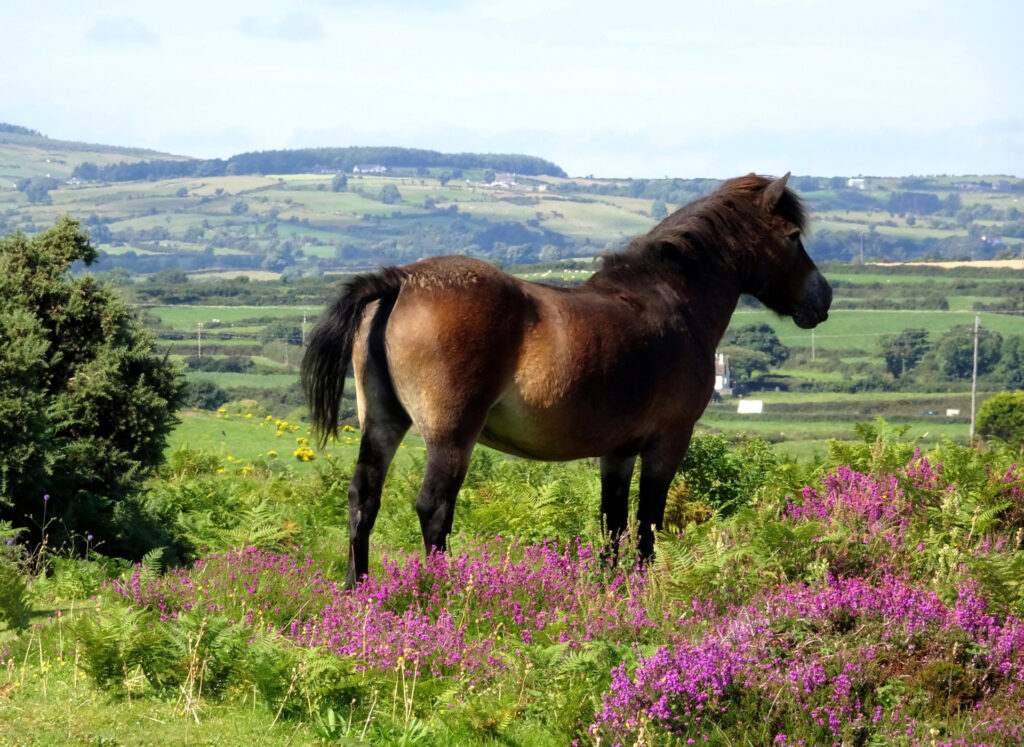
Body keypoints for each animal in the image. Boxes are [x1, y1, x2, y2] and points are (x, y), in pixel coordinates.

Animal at [303, 172, 831, 586]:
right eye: (791, 236)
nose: (823, 297)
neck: (671, 301)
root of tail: (401, 280)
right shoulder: (668, 441)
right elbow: (648, 521)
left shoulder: (618, 451)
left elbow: (612, 521)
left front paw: (610, 587)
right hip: (451, 435)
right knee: (433, 509)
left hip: (382, 424)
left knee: (363, 499)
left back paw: (358, 590)